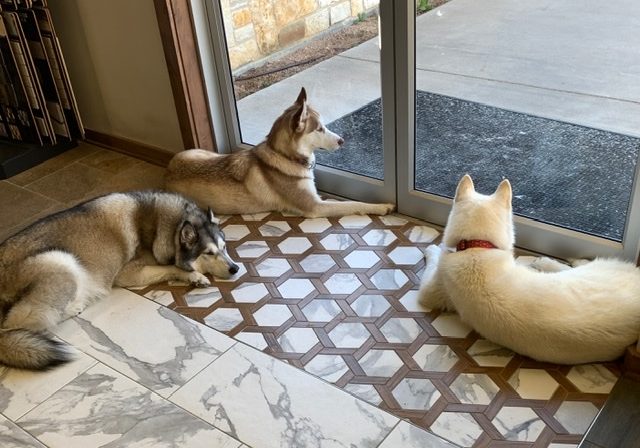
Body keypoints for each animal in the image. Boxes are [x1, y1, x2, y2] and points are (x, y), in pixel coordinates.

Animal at [0, 191, 238, 370]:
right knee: (24, 322)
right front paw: (195, 276)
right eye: (208, 253)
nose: (235, 268)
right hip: (61, 262)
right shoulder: (128, 273)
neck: (171, 227)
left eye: (224, 247)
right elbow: (171, 268)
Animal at [165, 87, 396, 217]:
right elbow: (352, 204)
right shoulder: (315, 207)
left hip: (205, 153)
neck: (286, 156)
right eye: (319, 129)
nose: (342, 140)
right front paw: (382, 206)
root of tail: (167, 173)